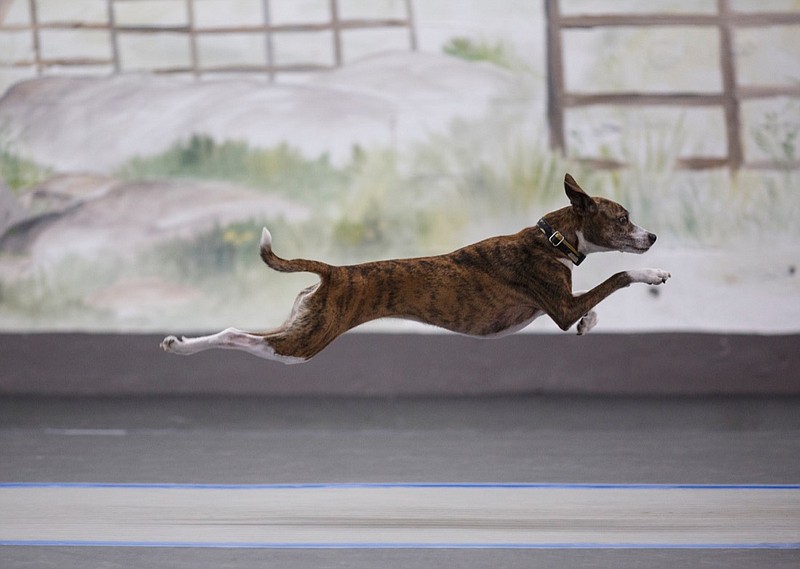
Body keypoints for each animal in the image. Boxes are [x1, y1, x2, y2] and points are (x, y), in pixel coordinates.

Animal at [158, 173, 668, 364]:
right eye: (623, 219)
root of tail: (333, 271)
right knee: (237, 336)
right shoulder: (559, 306)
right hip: (304, 343)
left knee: (241, 330)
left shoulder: (563, 306)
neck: (553, 239)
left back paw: (178, 342)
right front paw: (653, 275)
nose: (653, 238)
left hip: (301, 323)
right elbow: (617, 277)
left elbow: (592, 308)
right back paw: (184, 346)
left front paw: (590, 324)